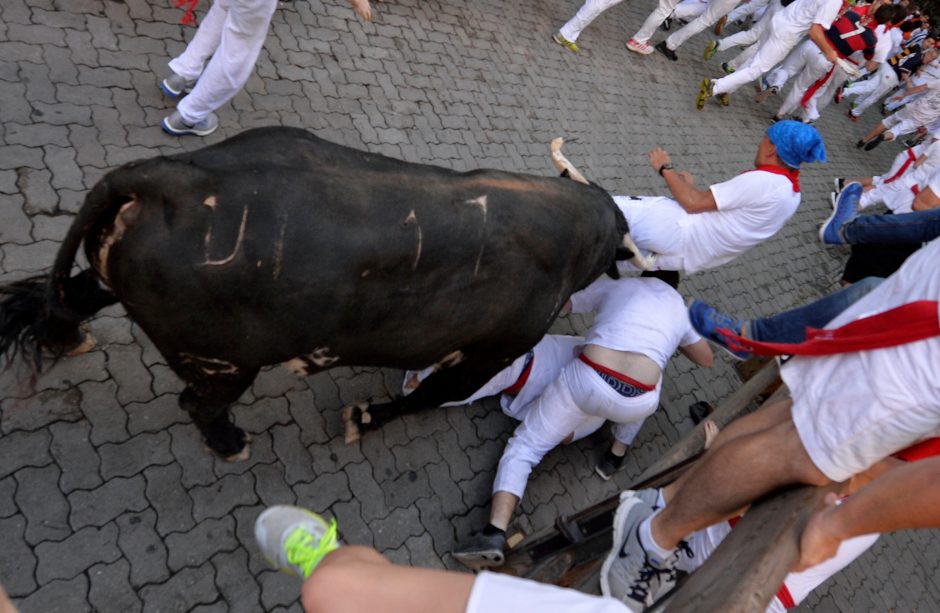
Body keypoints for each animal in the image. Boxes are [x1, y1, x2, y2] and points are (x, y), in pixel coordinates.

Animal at [0, 125, 636, 460]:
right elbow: (427, 398)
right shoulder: (486, 355)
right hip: (226, 362)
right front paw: (365, 419)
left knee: (72, 298)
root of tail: (171, 175)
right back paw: (232, 443)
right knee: (198, 404)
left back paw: (68, 338)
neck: (575, 229)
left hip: (114, 278)